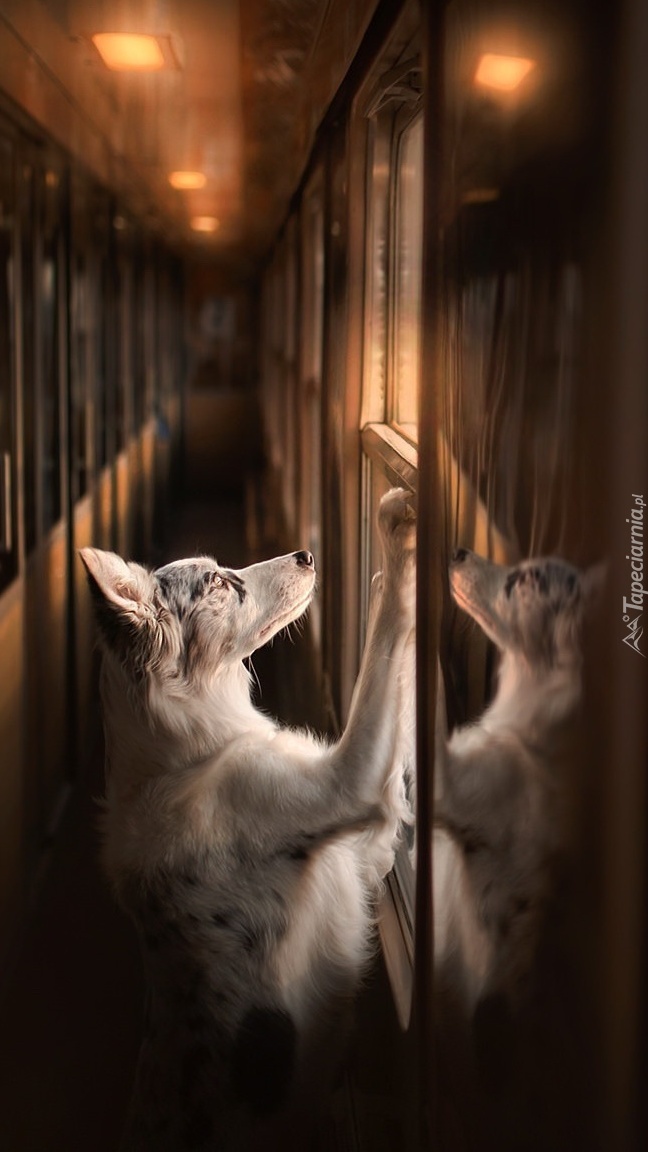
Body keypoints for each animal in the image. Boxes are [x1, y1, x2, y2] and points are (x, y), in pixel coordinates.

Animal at [80, 488, 412, 1152]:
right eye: (217, 582)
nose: (308, 555)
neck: (188, 759)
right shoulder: (349, 783)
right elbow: (385, 647)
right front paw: (397, 537)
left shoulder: (363, 852)